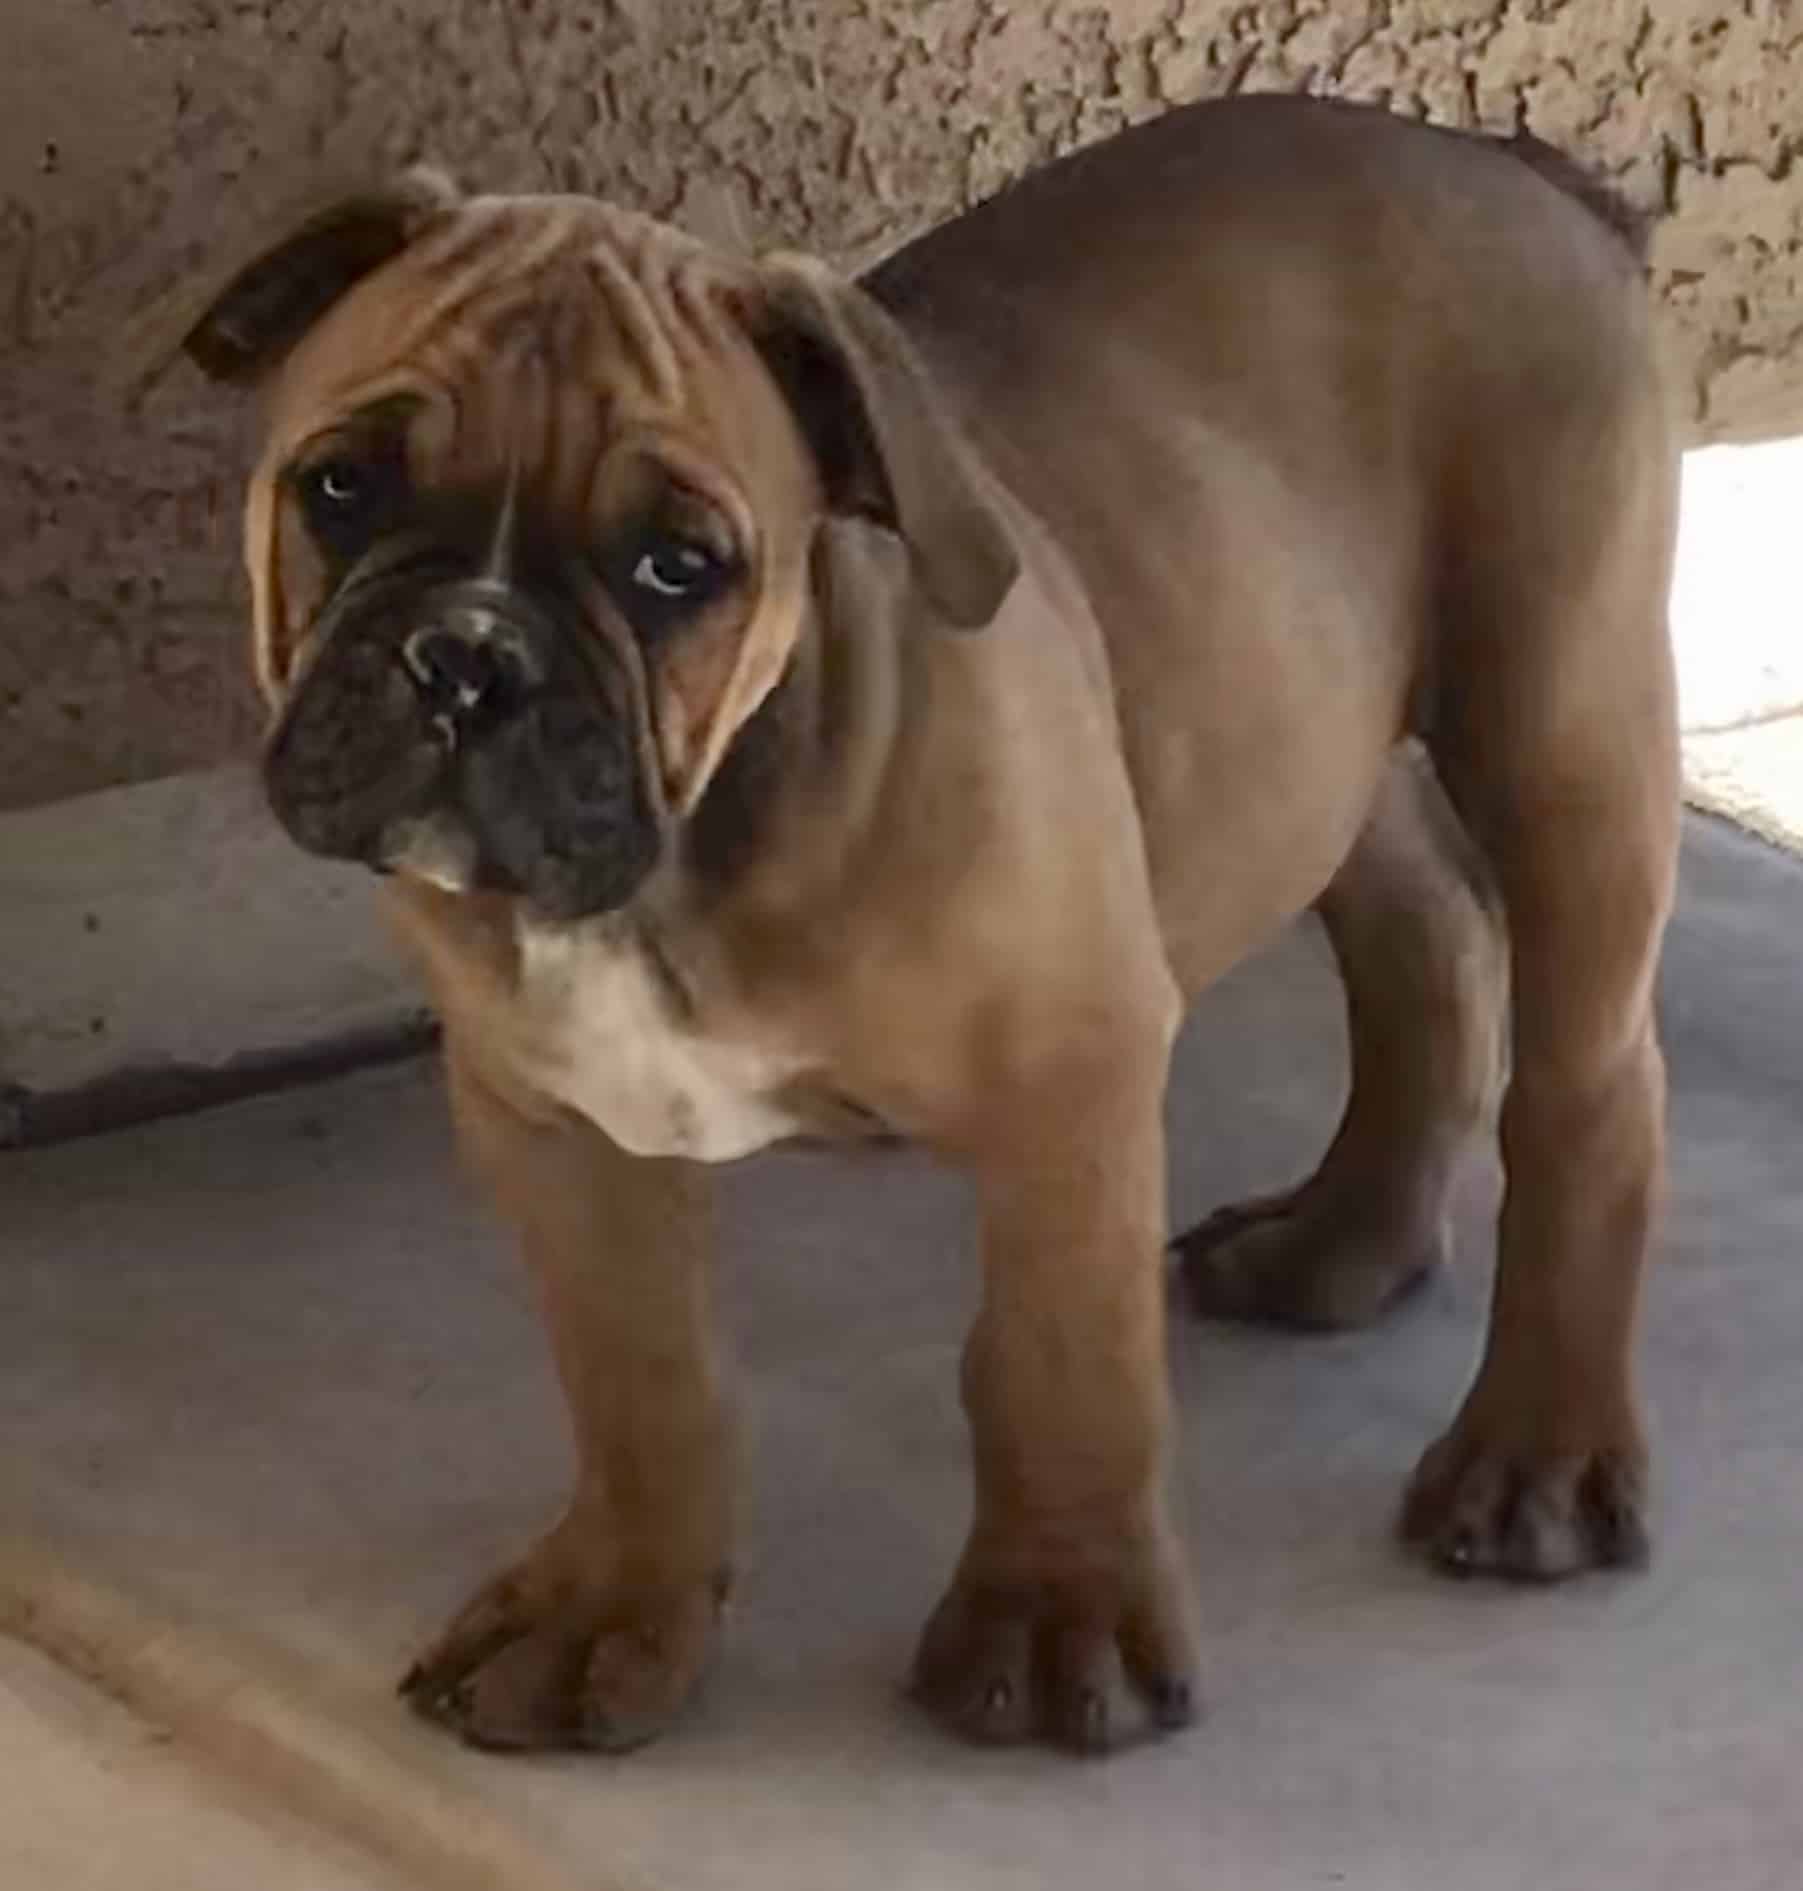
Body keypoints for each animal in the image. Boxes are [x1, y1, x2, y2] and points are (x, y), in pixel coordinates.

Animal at [159, 94, 1679, 1755]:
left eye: (676, 564)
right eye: (342, 485)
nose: (465, 656)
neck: (686, 844)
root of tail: (1498, 162)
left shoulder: (1071, 1080)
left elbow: (1052, 1359)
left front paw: (1058, 1618)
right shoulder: (548, 1117)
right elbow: (637, 1374)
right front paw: (607, 1609)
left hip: (1559, 724)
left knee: (1584, 1094)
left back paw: (1535, 1453)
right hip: (1303, 728)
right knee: (1424, 931)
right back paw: (1341, 1240)